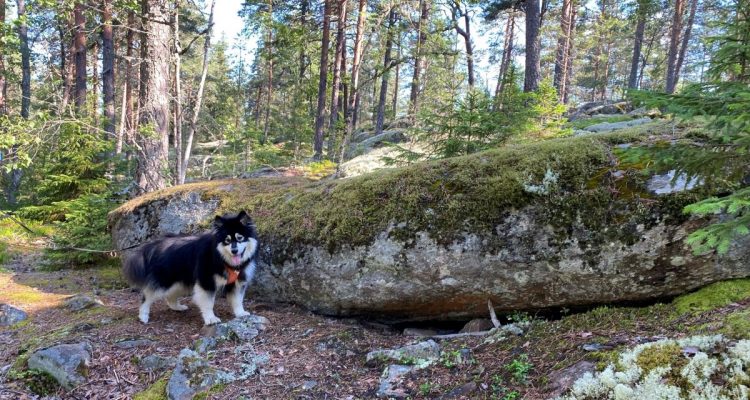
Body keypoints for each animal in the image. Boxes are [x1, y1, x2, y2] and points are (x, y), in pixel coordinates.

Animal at [125, 209, 260, 324]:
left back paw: (177, 307)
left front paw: (240, 313)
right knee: (147, 296)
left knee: (170, 296)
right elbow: (208, 303)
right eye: (227, 240)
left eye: (240, 238)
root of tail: (154, 244)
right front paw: (211, 318)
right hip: (164, 281)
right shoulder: (206, 282)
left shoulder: (237, 283)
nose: (234, 251)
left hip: (180, 282)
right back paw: (143, 316)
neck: (221, 258)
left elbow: (238, 300)